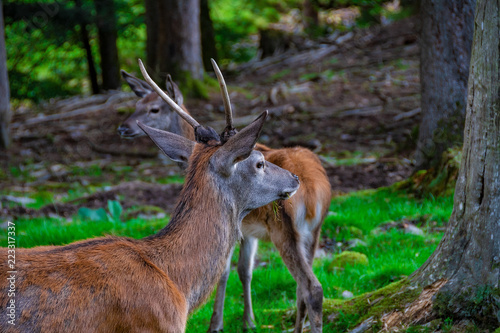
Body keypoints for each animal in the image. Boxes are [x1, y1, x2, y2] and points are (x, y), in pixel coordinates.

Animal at [119, 58, 334, 330]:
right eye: (136, 104)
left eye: (154, 109)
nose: (123, 127)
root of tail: (316, 190)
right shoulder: (248, 231)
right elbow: (245, 270)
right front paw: (249, 321)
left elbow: (224, 272)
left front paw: (217, 324)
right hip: (313, 231)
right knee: (301, 288)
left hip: (284, 230)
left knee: (311, 287)